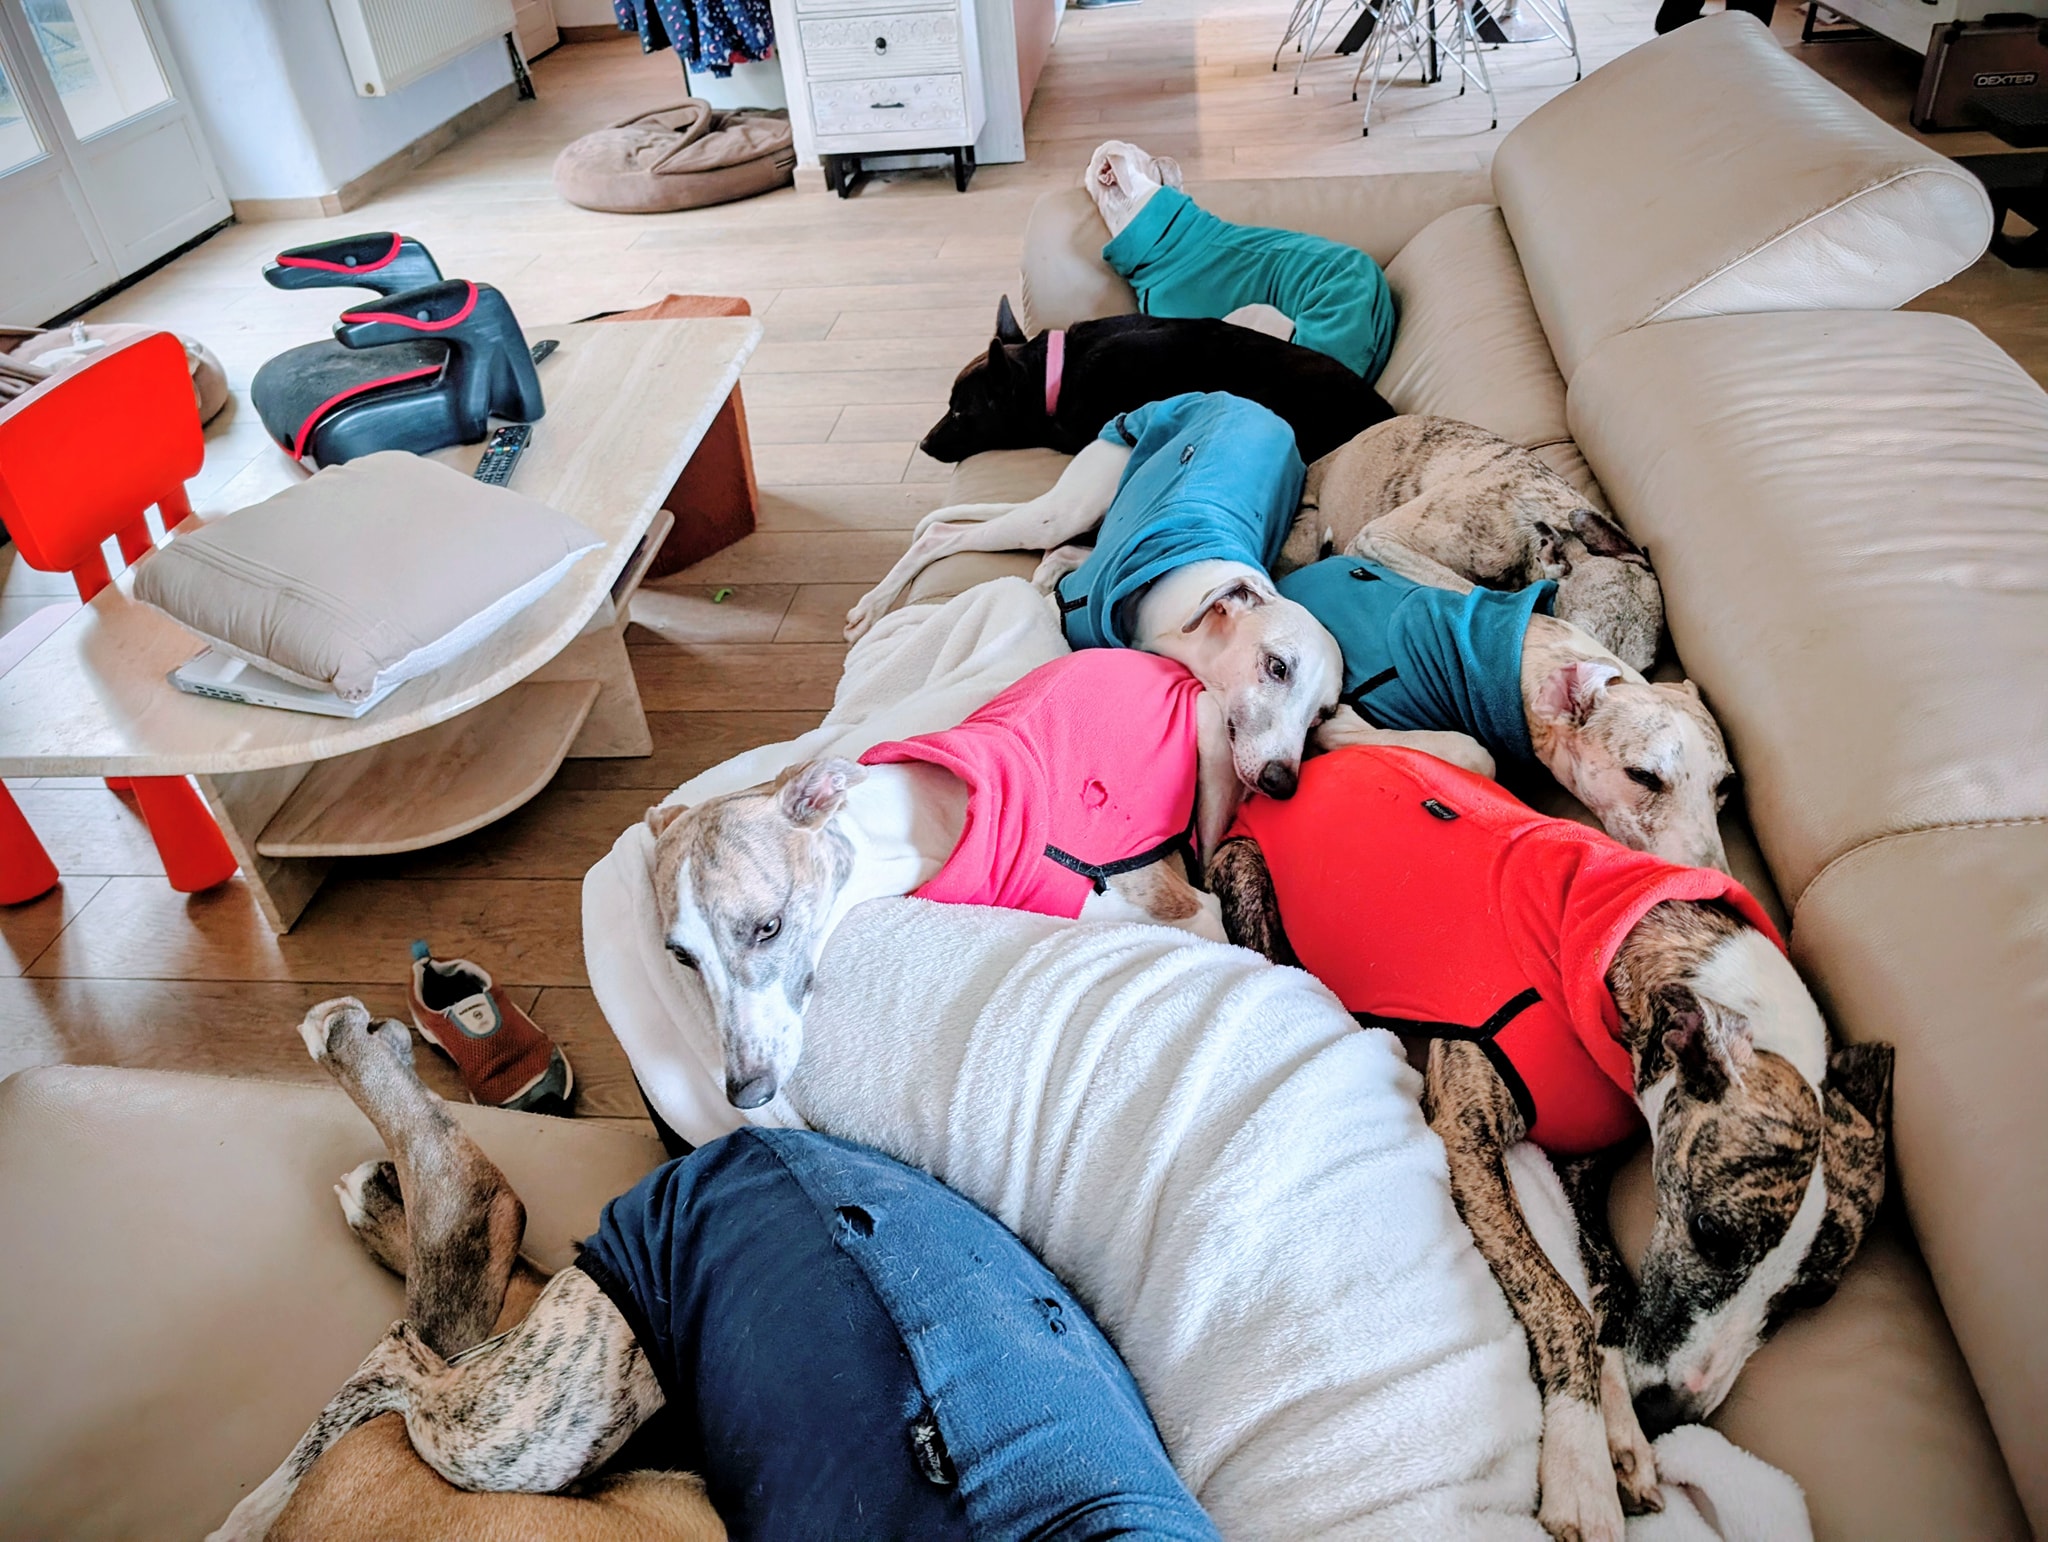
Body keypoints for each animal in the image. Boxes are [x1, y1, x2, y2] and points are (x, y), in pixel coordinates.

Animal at [648, 649, 1257, 1111]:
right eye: (681, 956)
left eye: (768, 926)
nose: (747, 1092)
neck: (920, 822)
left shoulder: (1187, 909)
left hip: (1211, 737)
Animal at [1206, 746, 1894, 1542]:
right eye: (1712, 1234)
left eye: (1811, 1298)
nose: (1671, 1415)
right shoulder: (1467, 1135)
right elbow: (1561, 1300)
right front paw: (1580, 1462)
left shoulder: (1584, 1167)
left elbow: (1610, 1288)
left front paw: (1619, 1433)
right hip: (1250, 877)